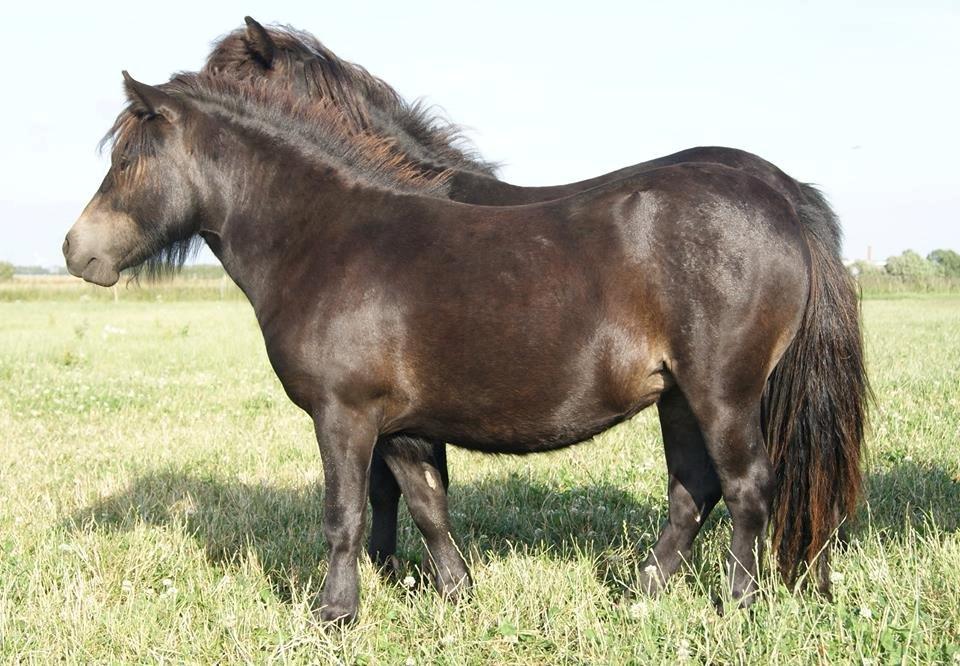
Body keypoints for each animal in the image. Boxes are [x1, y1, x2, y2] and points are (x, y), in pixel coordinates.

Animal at [63, 72, 868, 624]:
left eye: (127, 162)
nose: (76, 250)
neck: (328, 239)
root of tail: (782, 198)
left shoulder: (345, 416)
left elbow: (344, 515)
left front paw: (334, 614)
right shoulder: (399, 425)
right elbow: (425, 505)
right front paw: (456, 593)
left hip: (722, 391)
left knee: (746, 487)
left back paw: (737, 604)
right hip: (678, 395)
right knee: (692, 491)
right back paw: (642, 594)